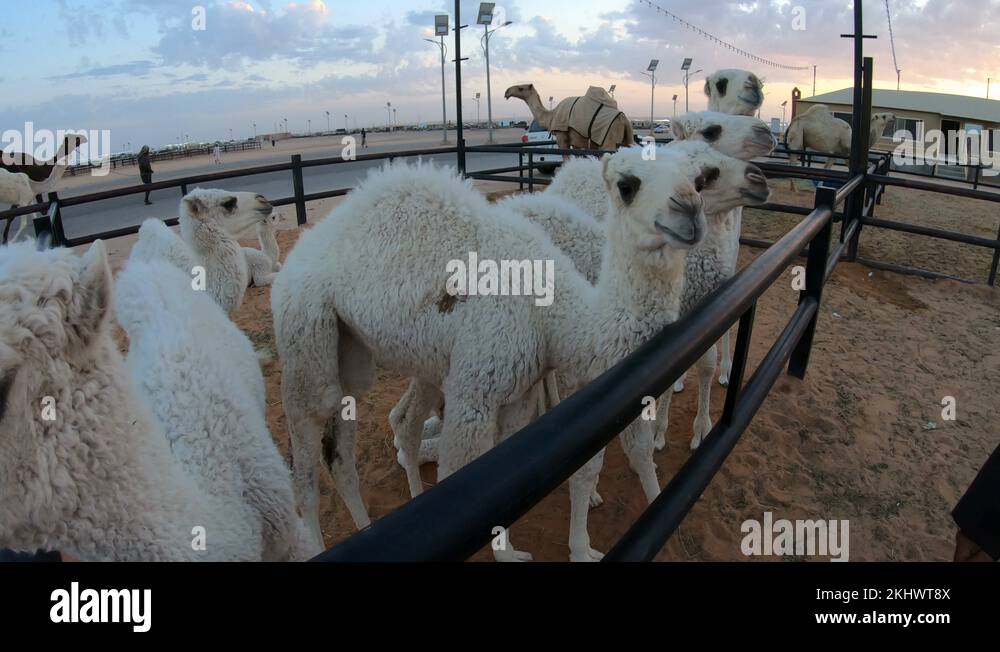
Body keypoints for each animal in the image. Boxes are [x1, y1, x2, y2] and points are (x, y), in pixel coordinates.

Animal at [505, 84, 636, 152]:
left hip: (609, 138)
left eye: (521, 88)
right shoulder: (577, 141)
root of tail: (625, 120)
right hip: (622, 140)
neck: (552, 115)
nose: (507, 91)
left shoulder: (562, 136)